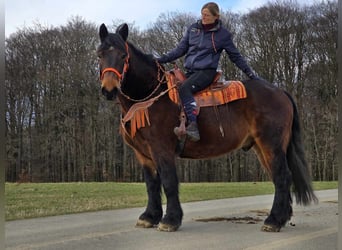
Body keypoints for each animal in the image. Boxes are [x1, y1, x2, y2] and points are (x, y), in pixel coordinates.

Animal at [95, 23, 316, 232]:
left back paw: (274, 220)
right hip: (262, 147)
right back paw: (281, 217)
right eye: (100, 54)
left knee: (282, 177)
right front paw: (150, 217)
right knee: (279, 177)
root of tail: (280, 91)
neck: (150, 96)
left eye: (123, 55)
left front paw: (170, 220)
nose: (109, 89)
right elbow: (152, 184)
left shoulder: (162, 149)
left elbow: (168, 182)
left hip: (271, 144)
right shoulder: (143, 154)